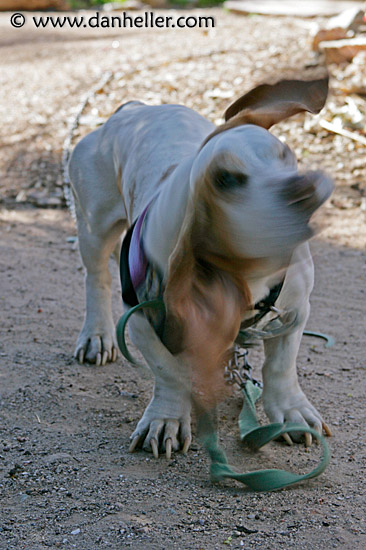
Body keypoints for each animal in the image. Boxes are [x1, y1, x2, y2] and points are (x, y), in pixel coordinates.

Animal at [69, 75, 334, 460]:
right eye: (227, 180)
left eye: (283, 153)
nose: (303, 187)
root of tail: (132, 110)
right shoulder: (142, 321)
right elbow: (169, 373)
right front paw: (165, 420)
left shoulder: (294, 314)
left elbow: (281, 368)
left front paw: (291, 411)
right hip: (93, 227)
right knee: (96, 279)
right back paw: (96, 336)